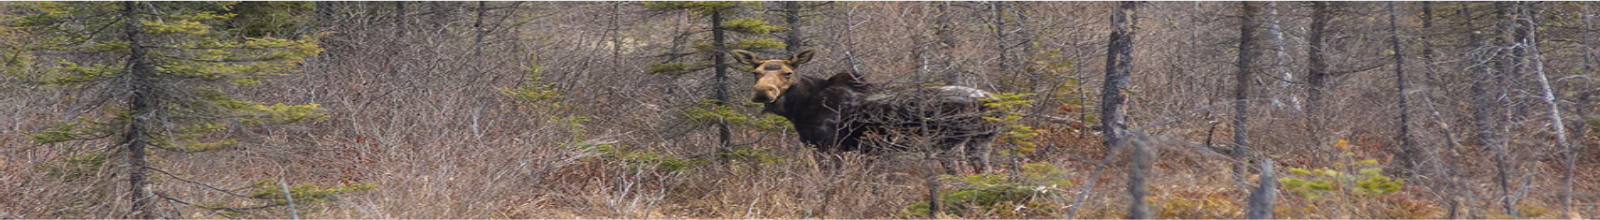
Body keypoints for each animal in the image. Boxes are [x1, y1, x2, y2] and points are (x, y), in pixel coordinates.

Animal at [729, 49, 998, 171]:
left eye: (787, 73)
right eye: (755, 72)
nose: (763, 92)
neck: (798, 108)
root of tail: (990, 101)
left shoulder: (829, 145)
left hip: (950, 144)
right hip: (981, 142)